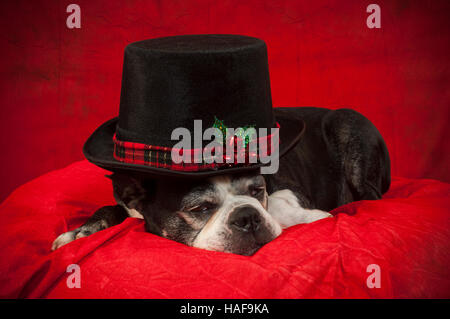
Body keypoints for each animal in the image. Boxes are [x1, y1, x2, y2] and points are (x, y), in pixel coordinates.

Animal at [51, 109, 390, 256]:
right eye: (199, 208)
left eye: (258, 190)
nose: (247, 216)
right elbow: (111, 209)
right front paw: (80, 231)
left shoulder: (289, 193)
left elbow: (284, 205)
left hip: (349, 128)